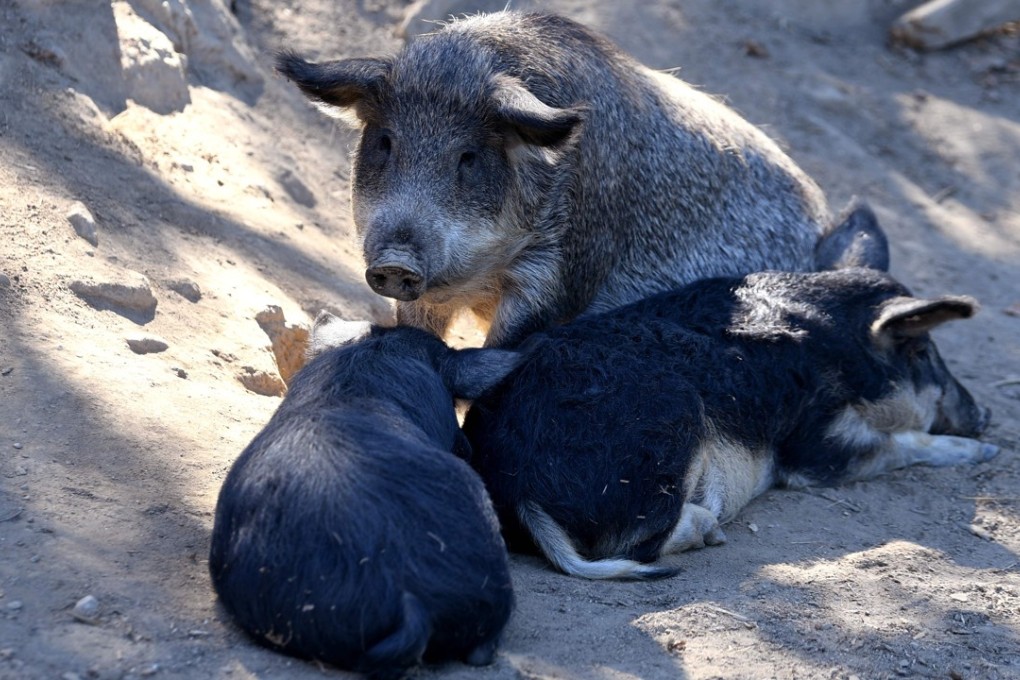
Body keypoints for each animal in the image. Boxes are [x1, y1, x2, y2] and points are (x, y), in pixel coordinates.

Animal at [461, 267, 997, 579]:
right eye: (922, 351)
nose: (986, 416)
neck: (840, 350)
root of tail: (518, 487)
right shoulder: (817, 445)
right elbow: (902, 444)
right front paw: (982, 454)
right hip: (672, 425)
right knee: (638, 544)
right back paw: (711, 531)